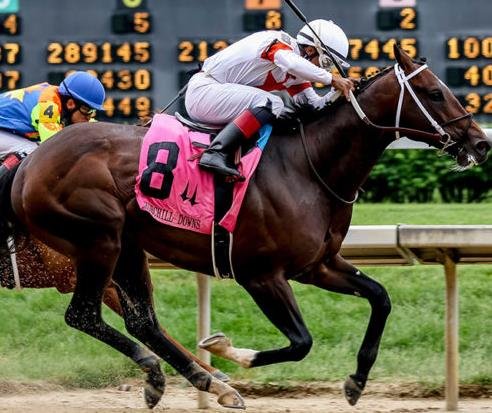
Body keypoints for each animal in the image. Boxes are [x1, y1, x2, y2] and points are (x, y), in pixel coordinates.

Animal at [1, 43, 490, 408]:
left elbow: (380, 298)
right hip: (97, 240)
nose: (480, 142)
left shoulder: (317, 264)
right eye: (432, 91)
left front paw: (356, 381)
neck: (308, 164)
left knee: (142, 321)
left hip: (128, 247)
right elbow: (301, 342)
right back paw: (186, 375)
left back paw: (200, 382)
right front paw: (226, 349)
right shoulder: (261, 275)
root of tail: (29, 166)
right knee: (85, 314)